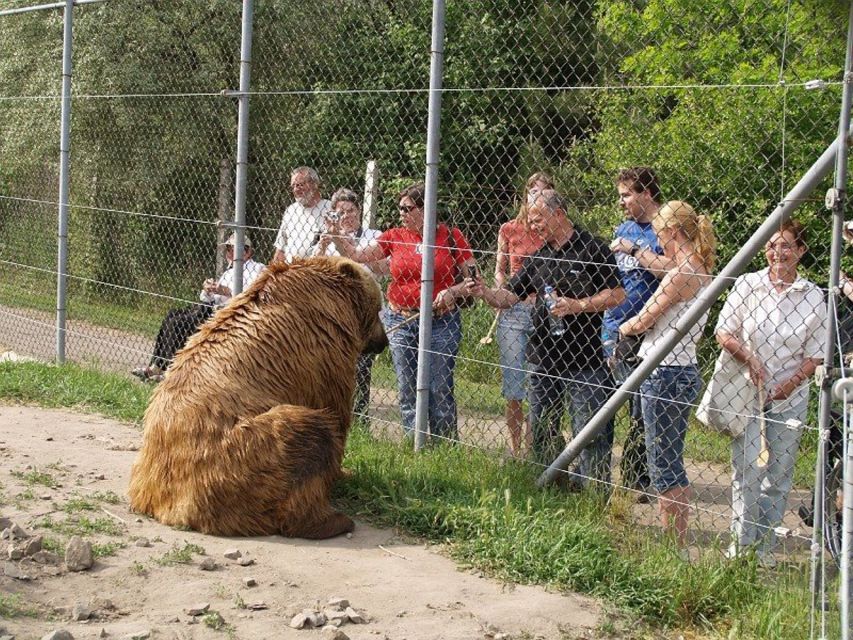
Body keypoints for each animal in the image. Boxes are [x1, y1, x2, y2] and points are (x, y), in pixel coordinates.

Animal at [127, 256, 388, 539]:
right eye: (378, 309)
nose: (384, 341)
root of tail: (165, 505)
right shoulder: (324, 351)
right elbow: (335, 412)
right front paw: (342, 472)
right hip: (241, 453)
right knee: (312, 430)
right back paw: (334, 521)